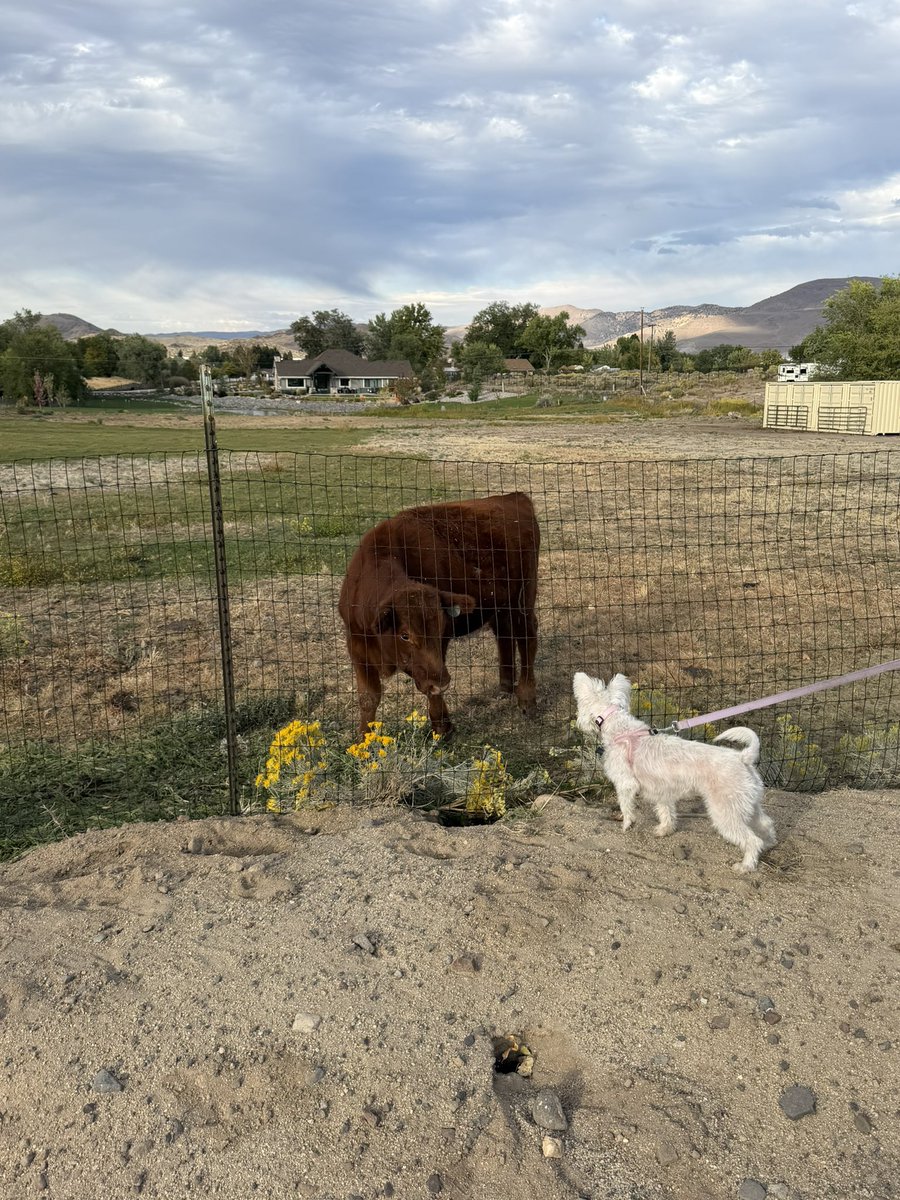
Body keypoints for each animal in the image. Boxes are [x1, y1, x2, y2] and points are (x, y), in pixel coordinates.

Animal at [338, 492, 539, 736]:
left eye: (442, 627)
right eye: (405, 635)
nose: (442, 682)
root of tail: (514, 497)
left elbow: (430, 690)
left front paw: (442, 728)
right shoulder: (357, 647)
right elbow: (368, 697)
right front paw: (362, 738)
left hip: (523, 598)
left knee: (526, 637)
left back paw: (526, 698)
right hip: (501, 604)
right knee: (504, 633)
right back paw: (505, 686)